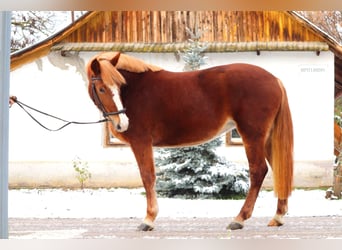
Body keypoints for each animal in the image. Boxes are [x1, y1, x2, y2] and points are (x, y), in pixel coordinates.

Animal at [85, 51, 294, 231]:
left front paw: (148, 220)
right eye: (102, 88)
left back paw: (239, 219)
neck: (137, 90)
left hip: (252, 135)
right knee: (278, 168)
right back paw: (277, 216)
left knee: (258, 171)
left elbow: (148, 177)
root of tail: (274, 79)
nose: (123, 122)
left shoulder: (141, 142)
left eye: (119, 87)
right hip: (267, 138)